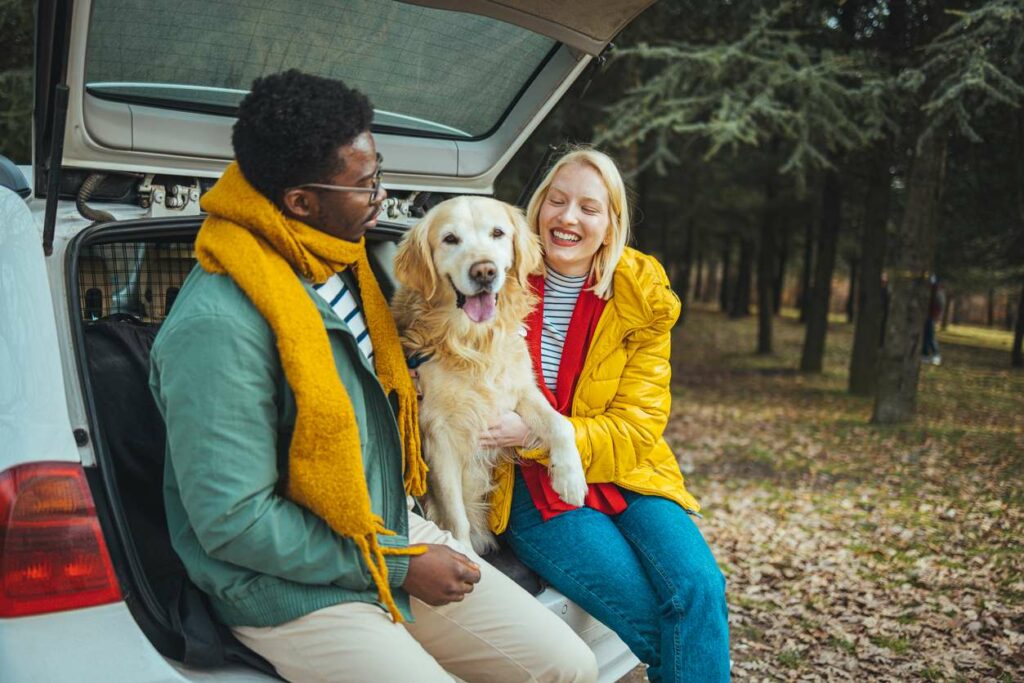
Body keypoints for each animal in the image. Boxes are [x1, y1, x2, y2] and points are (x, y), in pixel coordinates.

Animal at [389, 194, 585, 552]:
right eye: (450, 239)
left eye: (497, 233)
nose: (484, 271)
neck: (475, 343)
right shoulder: (439, 434)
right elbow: (457, 518)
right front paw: (466, 553)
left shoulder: (520, 391)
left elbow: (559, 424)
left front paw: (570, 478)